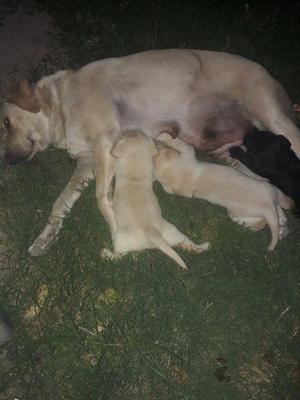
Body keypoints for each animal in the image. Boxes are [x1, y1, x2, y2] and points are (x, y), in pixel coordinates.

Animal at [102, 130, 210, 268]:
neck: (135, 168)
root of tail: (151, 231)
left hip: (122, 242)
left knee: (118, 257)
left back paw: (106, 253)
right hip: (173, 233)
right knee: (190, 245)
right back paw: (204, 246)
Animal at [154, 134, 292, 250]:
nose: (155, 140)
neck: (171, 174)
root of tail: (268, 207)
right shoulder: (186, 153)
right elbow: (183, 145)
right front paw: (165, 136)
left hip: (272, 190)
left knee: (282, 206)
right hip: (239, 214)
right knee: (267, 219)